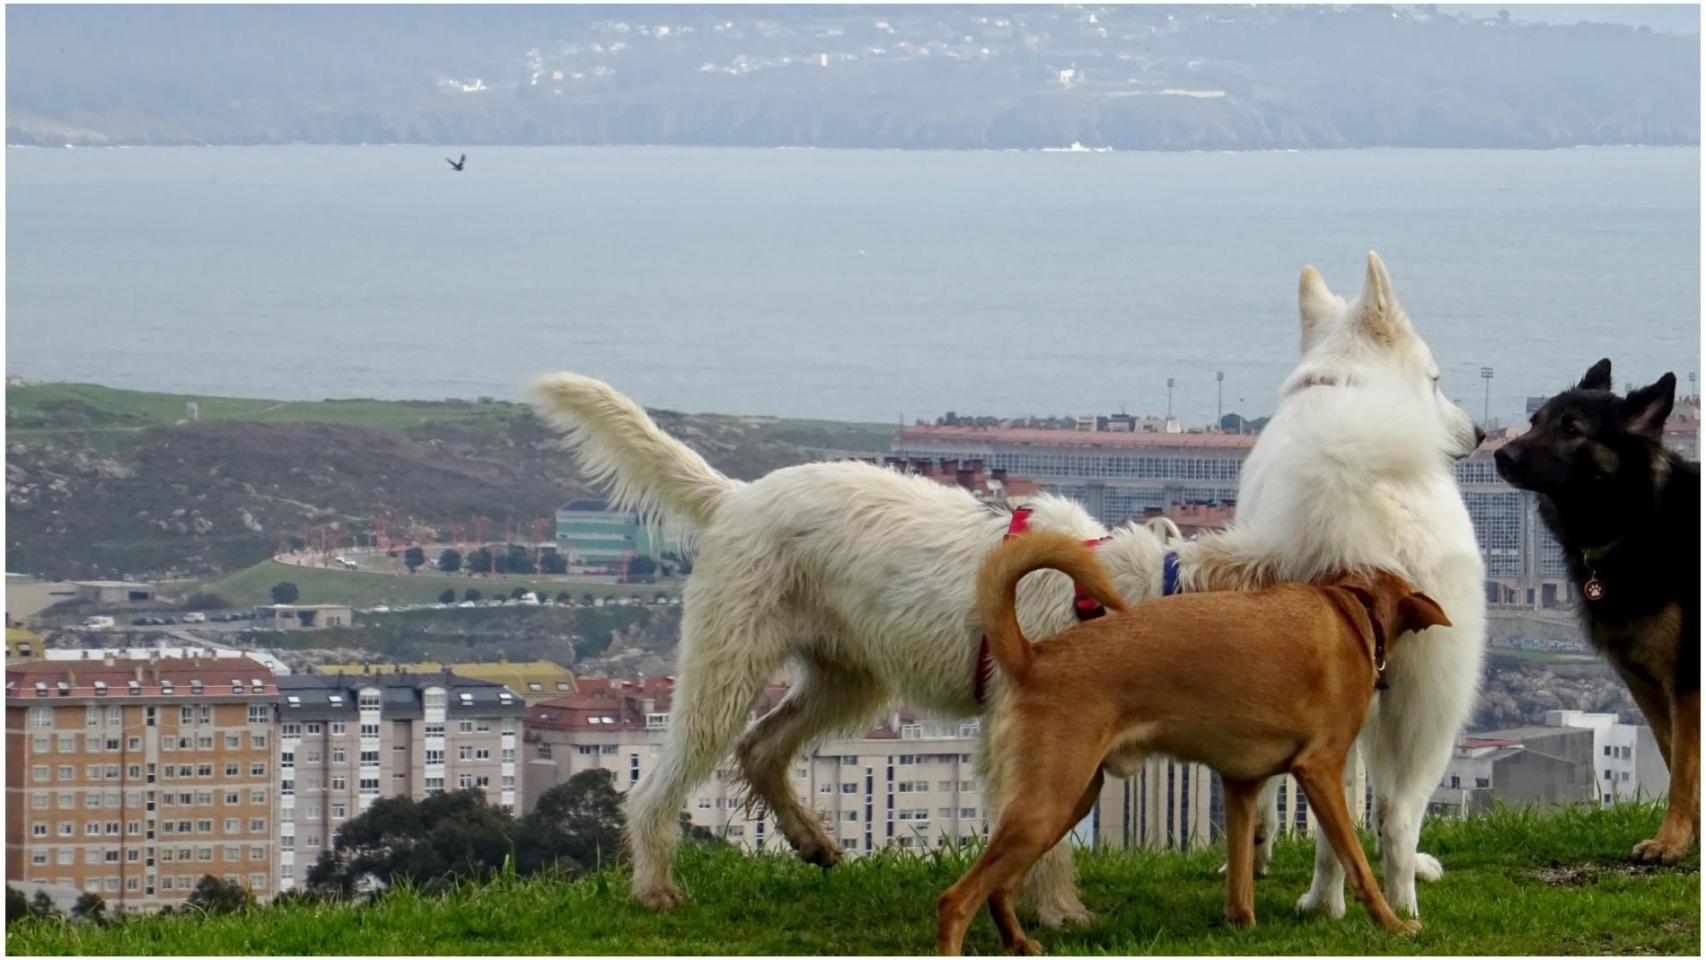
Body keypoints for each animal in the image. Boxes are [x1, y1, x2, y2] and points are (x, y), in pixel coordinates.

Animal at [941, 528, 1446, 954]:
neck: (1351, 608)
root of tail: (1033, 658)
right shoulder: (1319, 769)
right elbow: (1356, 861)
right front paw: (1393, 924)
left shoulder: (1241, 785)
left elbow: (1241, 876)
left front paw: (1241, 923)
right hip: (1047, 804)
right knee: (955, 900)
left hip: (1069, 801)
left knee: (1000, 886)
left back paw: (1020, 944)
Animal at [1501, 361, 1699, 862]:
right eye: (1535, 421)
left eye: (1572, 429)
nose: (1501, 456)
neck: (1638, 521)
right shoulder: (1646, 684)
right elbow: (1674, 757)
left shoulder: (1685, 682)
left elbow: (1684, 769)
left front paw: (1670, 842)